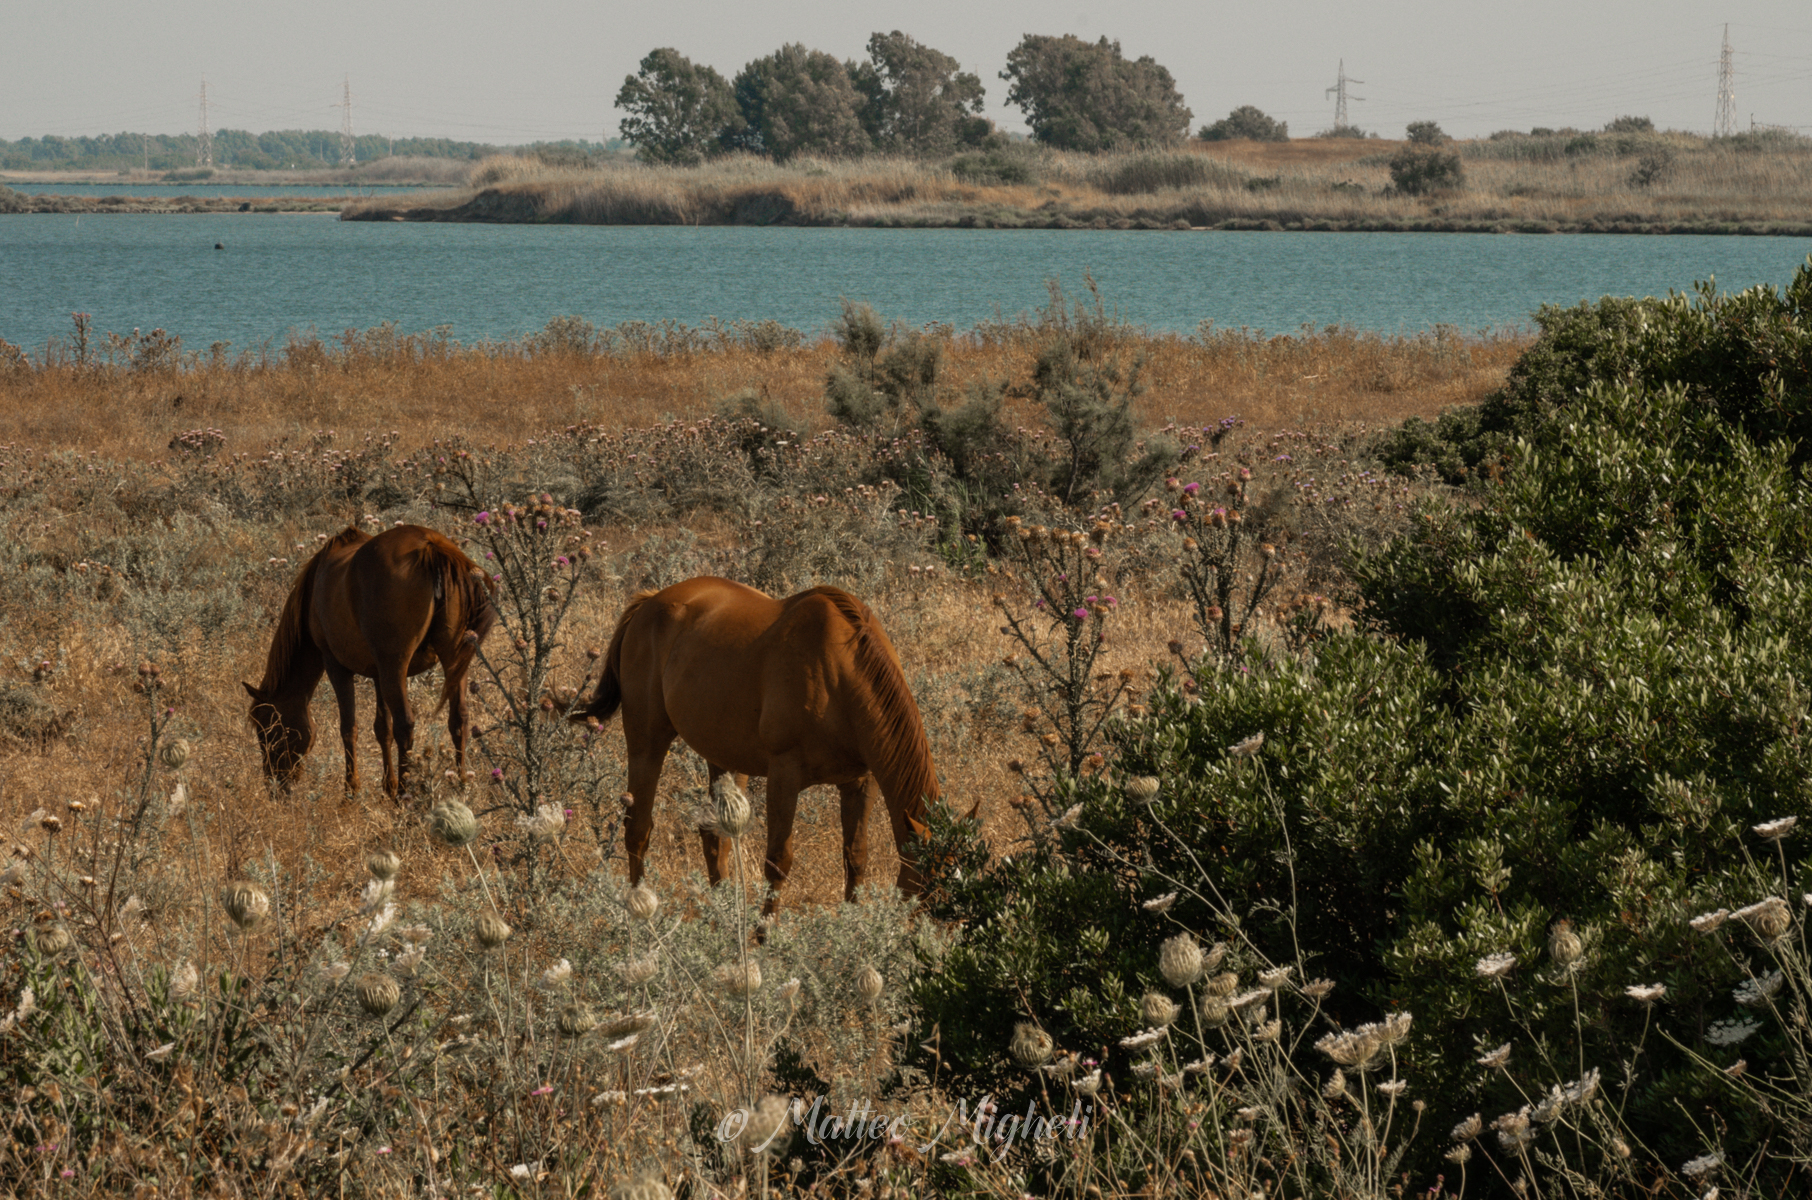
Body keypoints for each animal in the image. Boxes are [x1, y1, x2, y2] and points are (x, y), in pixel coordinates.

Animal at [245, 525, 496, 797]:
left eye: (267, 730)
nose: (274, 787)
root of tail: (431, 546)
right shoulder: (378, 673)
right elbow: (382, 728)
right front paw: (387, 786)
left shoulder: (336, 665)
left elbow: (349, 728)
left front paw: (351, 790)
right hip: (451, 660)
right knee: (459, 719)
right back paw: (461, 786)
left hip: (396, 667)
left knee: (405, 725)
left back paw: (404, 795)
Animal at [578, 576, 941, 909]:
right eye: (929, 890)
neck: (837, 670)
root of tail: (650, 601)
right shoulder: (784, 775)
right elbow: (778, 861)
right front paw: (764, 933)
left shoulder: (860, 781)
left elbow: (856, 856)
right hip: (646, 742)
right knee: (638, 829)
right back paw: (640, 905)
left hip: (722, 756)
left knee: (715, 837)